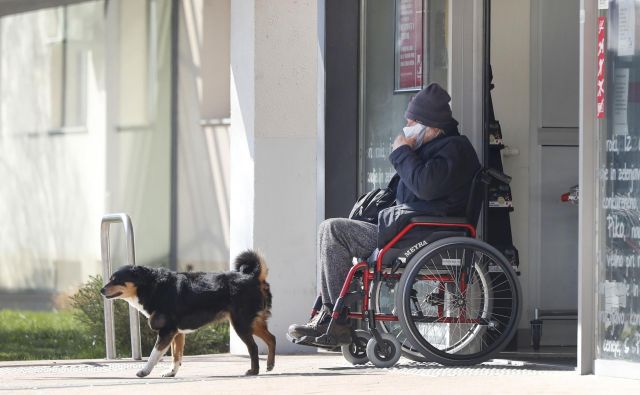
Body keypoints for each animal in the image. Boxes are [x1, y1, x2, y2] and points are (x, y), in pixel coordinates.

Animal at [99, 251, 274, 378]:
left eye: (116, 280)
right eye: (111, 279)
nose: (101, 290)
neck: (152, 286)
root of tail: (253, 277)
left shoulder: (167, 332)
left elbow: (154, 354)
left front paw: (144, 371)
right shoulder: (177, 333)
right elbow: (176, 356)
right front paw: (171, 373)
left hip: (241, 324)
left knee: (253, 347)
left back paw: (254, 371)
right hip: (251, 322)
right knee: (272, 338)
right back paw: (270, 365)